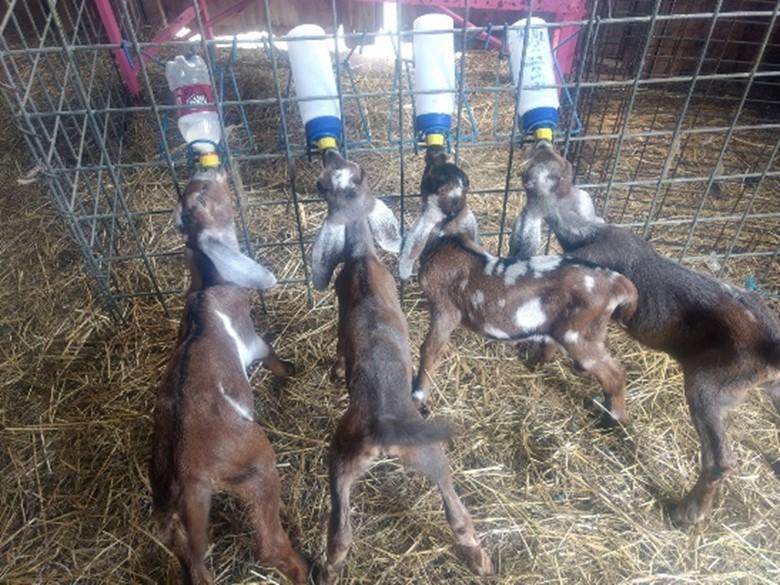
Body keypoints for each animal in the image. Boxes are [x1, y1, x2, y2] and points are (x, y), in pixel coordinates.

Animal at [151, 169, 310, 584]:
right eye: (205, 195)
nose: (211, 170)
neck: (208, 288)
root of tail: (186, 476)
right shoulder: (251, 339)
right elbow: (270, 356)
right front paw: (291, 372)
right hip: (254, 463)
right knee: (269, 545)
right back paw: (308, 569)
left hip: (174, 521)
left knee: (193, 565)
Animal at [310, 151, 494, 584]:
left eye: (325, 182)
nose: (328, 152)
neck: (361, 258)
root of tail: (384, 431)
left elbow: (339, 345)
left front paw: (336, 370)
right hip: (413, 457)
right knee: (453, 514)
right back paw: (479, 560)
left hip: (345, 458)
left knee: (341, 533)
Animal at [512, 143, 780, 524]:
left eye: (530, 174)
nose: (543, 144)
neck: (592, 232)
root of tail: (770, 347)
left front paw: (536, 360)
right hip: (773, 388)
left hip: (709, 387)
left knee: (720, 460)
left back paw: (688, 512)